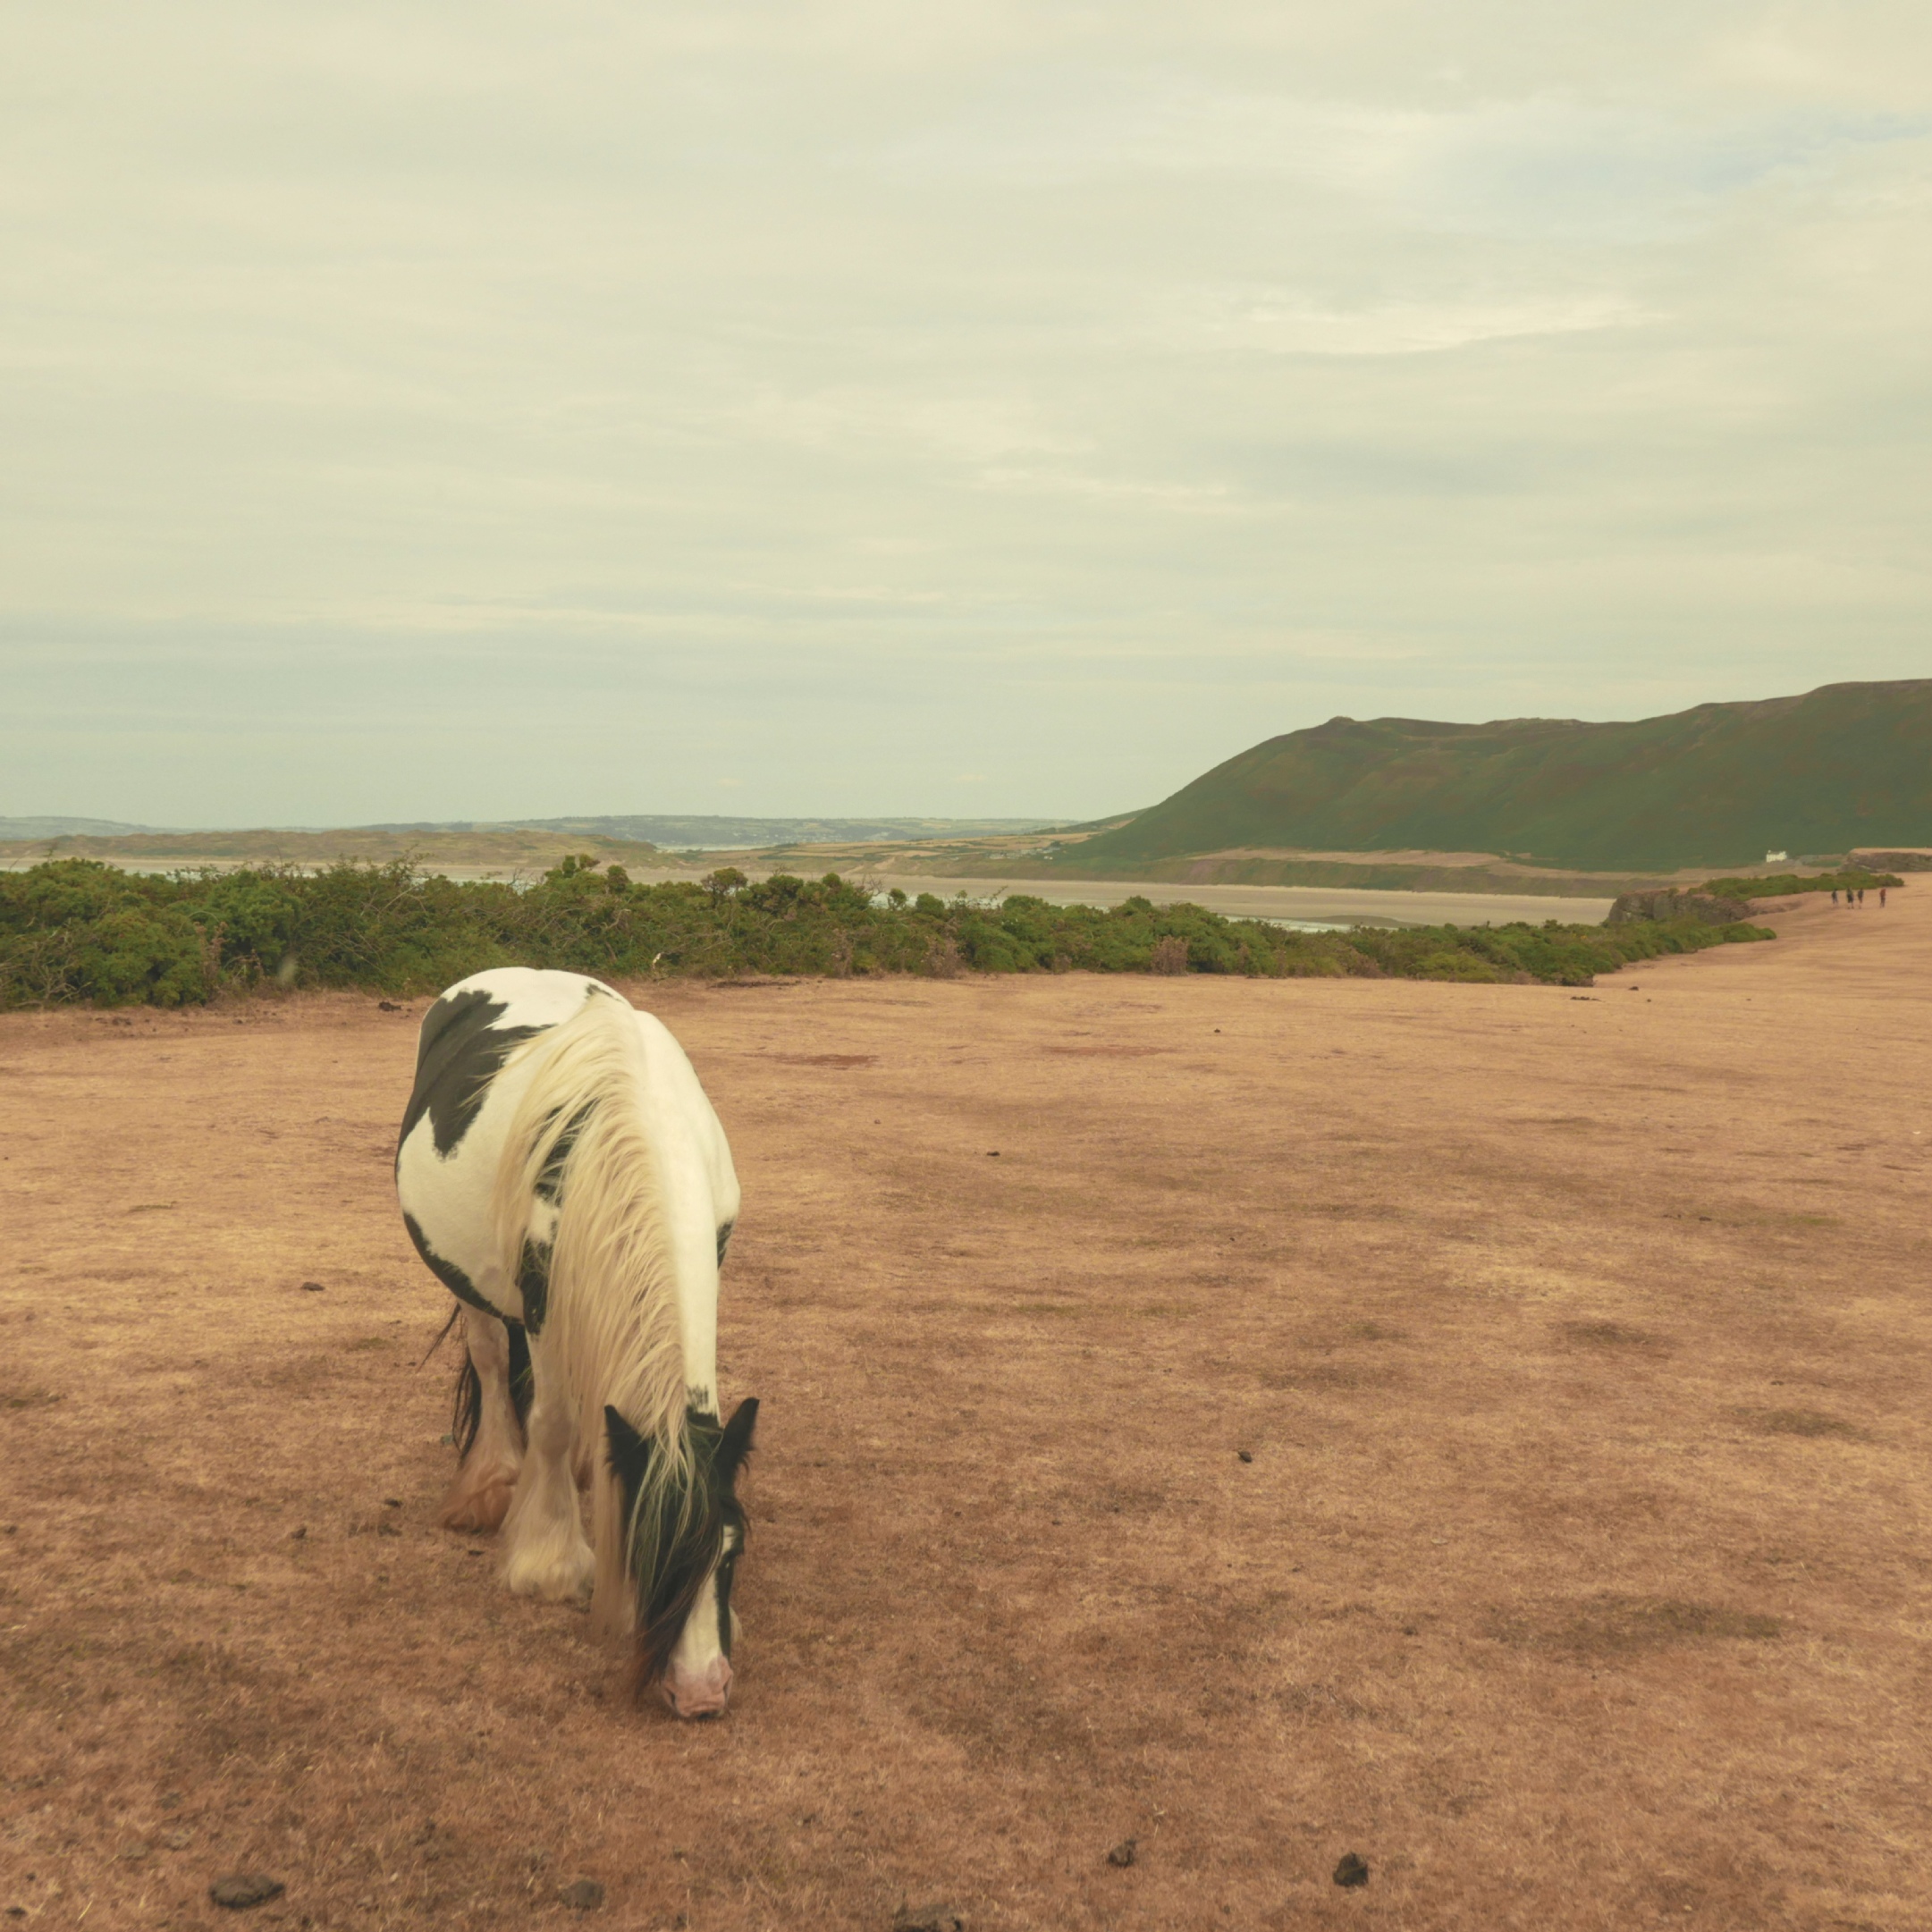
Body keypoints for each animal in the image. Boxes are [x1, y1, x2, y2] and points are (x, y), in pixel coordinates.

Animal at [394, 966, 757, 1718]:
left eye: (730, 1552)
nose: (701, 1692)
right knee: (495, 1365)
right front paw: (551, 1562)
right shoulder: (542, 1299)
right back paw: (495, 1481)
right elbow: (552, 1422)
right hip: (469, 1280)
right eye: (644, 1551)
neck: (643, 1131)